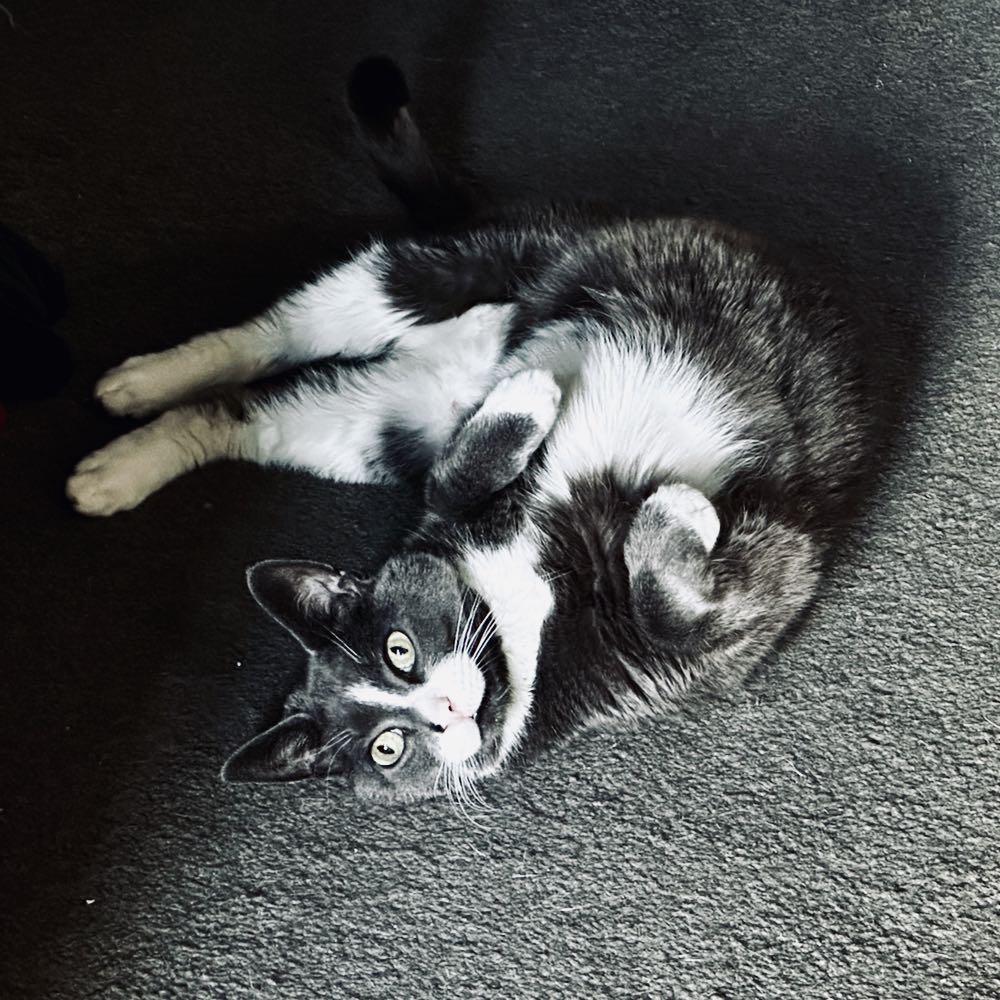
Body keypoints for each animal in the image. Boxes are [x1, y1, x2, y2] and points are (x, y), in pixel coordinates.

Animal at [67, 57, 874, 805]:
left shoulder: (740, 609)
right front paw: (674, 505)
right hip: (375, 423)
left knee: (271, 340)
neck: (517, 611)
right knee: (246, 410)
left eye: (398, 650)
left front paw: (536, 400)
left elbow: (471, 482)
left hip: (449, 274)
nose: (446, 710)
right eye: (387, 747)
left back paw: (135, 395)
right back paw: (121, 452)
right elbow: (471, 488)